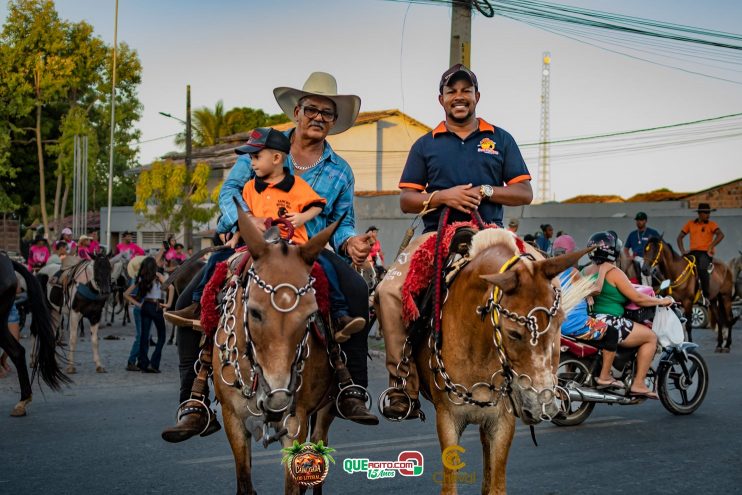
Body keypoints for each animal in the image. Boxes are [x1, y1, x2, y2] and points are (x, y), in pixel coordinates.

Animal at [212, 206, 346, 495]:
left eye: (310, 314)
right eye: (254, 312)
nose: (278, 397)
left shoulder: (295, 422)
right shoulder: (233, 419)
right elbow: (244, 482)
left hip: (326, 409)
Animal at [412, 232, 588, 495]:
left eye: (560, 323)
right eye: (514, 333)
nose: (542, 406)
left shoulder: (502, 421)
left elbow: (497, 486)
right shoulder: (447, 419)